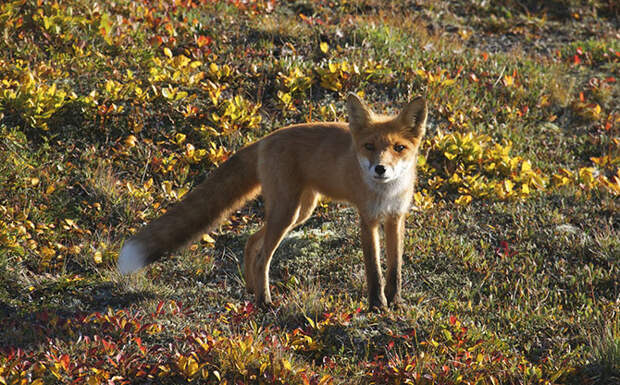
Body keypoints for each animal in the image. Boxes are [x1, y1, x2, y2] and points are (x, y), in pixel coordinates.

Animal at [117, 94, 426, 308]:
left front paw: (396, 303)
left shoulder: (396, 218)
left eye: (399, 148)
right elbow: (374, 269)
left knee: (252, 242)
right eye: (369, 147)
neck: (387, 193)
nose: (380, 169)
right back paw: (264, 301)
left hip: (299, 211)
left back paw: (251, 289)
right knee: (263, 255)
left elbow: (395, 269)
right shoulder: (368, 219)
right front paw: (377, 306)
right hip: (288, 211)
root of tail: (265, 139)